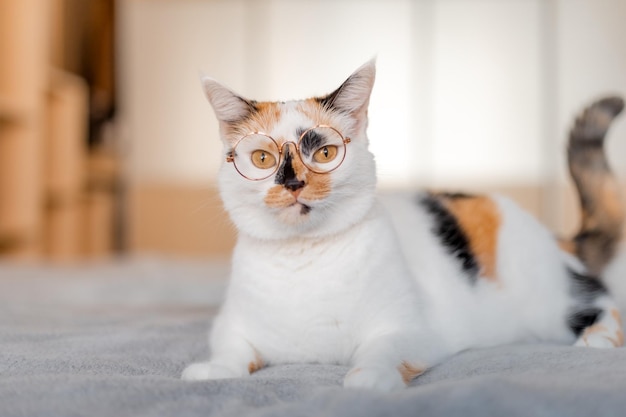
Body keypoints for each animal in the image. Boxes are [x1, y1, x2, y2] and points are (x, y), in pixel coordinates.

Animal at [183, 59, 620, 390]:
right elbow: (232, 348)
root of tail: (549, 235)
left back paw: (597, 340)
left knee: (603, 301)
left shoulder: (416, 330)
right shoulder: (230, 324)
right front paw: (213, 370)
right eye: (262, 159)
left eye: (324, 153)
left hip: (548, 302)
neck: (304, 260)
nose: (293, 183)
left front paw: (368, 379)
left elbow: (383, 350)